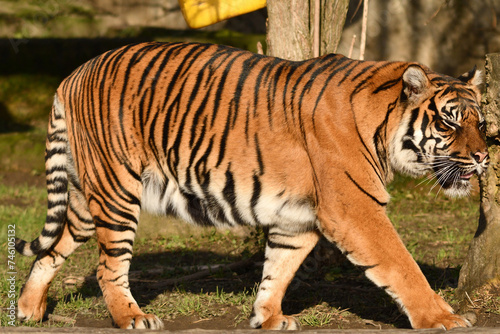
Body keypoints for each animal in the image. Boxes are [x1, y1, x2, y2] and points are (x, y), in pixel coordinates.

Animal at [15, 41, 488, 328]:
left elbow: (278, 269)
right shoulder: (355, 208)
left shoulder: (298, 218)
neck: (383, 125)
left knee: (52, 250)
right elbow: (402, 266)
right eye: (449, 122)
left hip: (85, 195)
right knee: (107, 266)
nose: (484, 157)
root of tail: (73, 74)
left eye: (481, 123)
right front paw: (442, 318)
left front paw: (268, 317)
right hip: (116, 191)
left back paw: (28, 309)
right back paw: (132, 318)